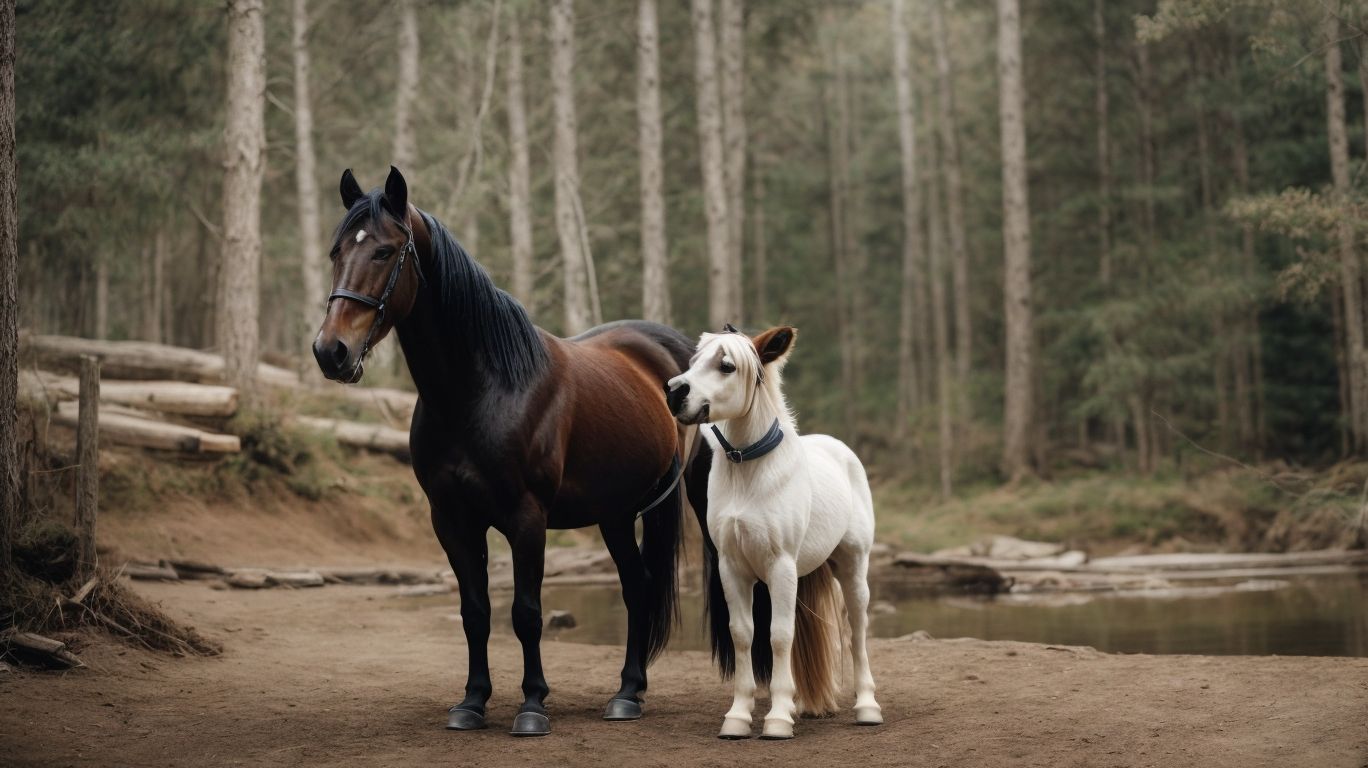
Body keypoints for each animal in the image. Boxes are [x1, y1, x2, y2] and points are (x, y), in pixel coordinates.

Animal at [312, 166, 708, 737]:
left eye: (385, 252)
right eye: (336, 251)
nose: (331, 351)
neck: (480, 391)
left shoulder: (527, 518)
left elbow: (526, 612)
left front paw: (533, 705)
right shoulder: (451, 520)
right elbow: (475, 611)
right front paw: (472, 702)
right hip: (614, 514)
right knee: (636, 586)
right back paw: (627, 692)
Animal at [664, 325, 883, 739]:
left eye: (727, 365)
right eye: (694, 361)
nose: (674, 392)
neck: (749, 475)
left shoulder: (780, 567)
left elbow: (779, 635)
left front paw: (778, 719)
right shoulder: (733, 568)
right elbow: (744, 634)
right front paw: (738, 716)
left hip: (852, 568)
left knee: (858, 632)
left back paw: (867, 707)